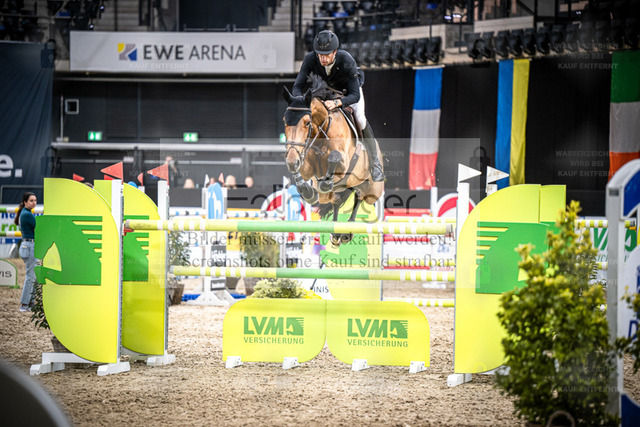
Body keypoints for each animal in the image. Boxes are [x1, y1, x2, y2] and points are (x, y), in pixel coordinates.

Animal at [282, 74, 384, 246]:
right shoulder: (307, 166)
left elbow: (333, 157)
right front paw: (308, 192)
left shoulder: (343, 163)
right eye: (285, 121)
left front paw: (326, 182)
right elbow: (300, 173)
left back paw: (348, 228)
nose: (291, 159)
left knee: (359, 196)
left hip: (372, 191)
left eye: (307, 123)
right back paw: (337, 231)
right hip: (337, 193)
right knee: (337, 200)